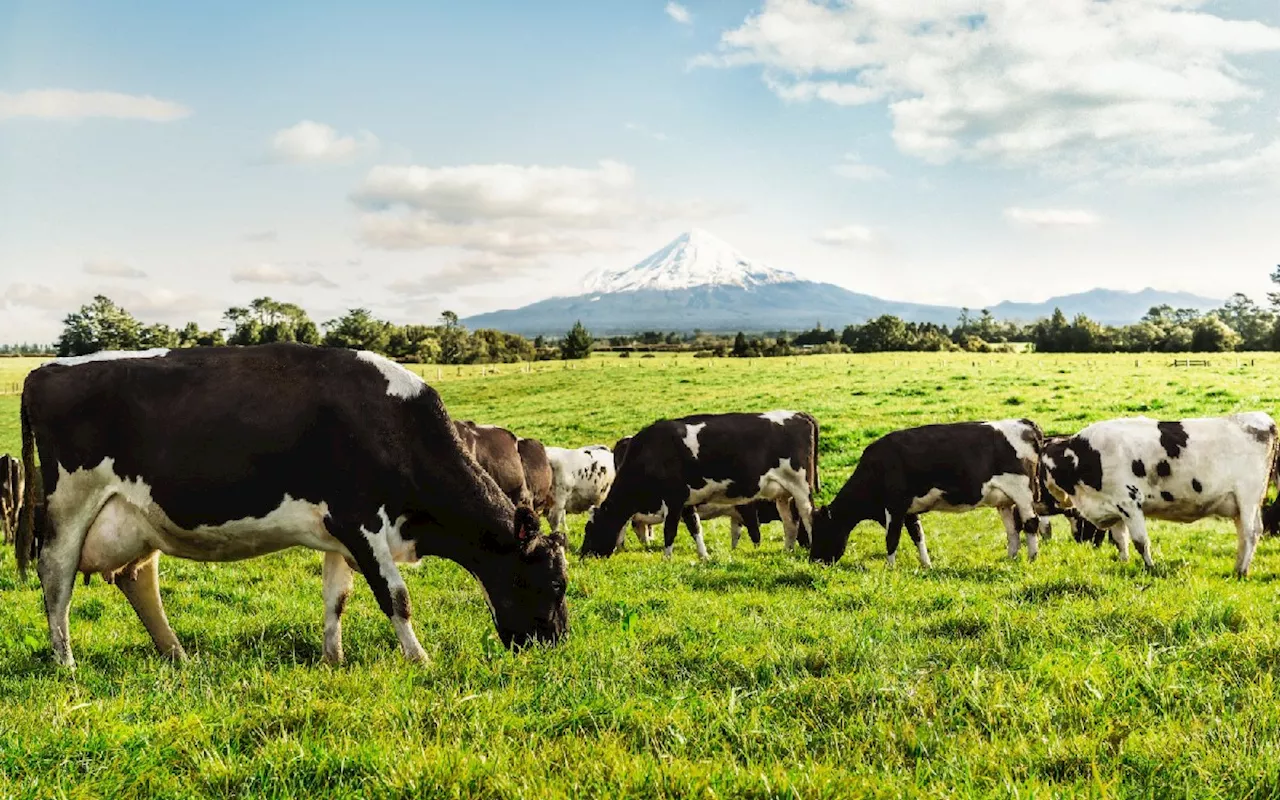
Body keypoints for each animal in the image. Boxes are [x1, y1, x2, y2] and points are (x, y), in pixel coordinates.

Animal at [17, 343, 568, 665]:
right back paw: (66, 662)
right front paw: (420, 660)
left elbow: (336, 596)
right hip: (69, 505)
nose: (556, 643)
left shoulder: (339, 532)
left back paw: (177, 655)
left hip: (139, 516)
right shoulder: (359, 519)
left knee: (137, 577)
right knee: (56, 576)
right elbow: (396, 596)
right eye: (556, 584)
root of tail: (44, 369)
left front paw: (333, 660)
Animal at [583, 409, 819, 558]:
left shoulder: (674, 498)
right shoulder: (686, 501)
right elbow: (694, 528)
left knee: (808, 517)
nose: (583, 556)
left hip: (801, 487)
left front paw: (666, 559)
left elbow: (670, 530)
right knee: (790, 523)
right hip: (783, 493)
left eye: (590, 529)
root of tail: (799, 414)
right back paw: (787, 551)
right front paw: (704, 556)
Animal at [808, 417, 1049, 568]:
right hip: (1004, 500)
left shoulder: (894, 506)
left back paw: (1032, 558)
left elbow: (892, 538)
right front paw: (926, 565)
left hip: (1023, 494)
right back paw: (1011, 558)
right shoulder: (908, 510)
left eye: (820, 531)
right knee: (1012, 531)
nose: (813, 561)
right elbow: (917, 535)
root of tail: (1025, 423)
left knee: (1030, 523)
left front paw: (890, 568)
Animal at [1039, 412, 1280, 573]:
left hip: (1248, 497)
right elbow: (1120, 540)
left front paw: (1150, 567)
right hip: (1239, 504)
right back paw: (1238, 567)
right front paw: (1124, 563)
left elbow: (1140, 541)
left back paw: (1241, 571)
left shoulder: (1129, 502)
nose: (1038, 503)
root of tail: (1263, 420)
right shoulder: (1114, 506)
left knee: (1251, 532)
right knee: (1245, 533)